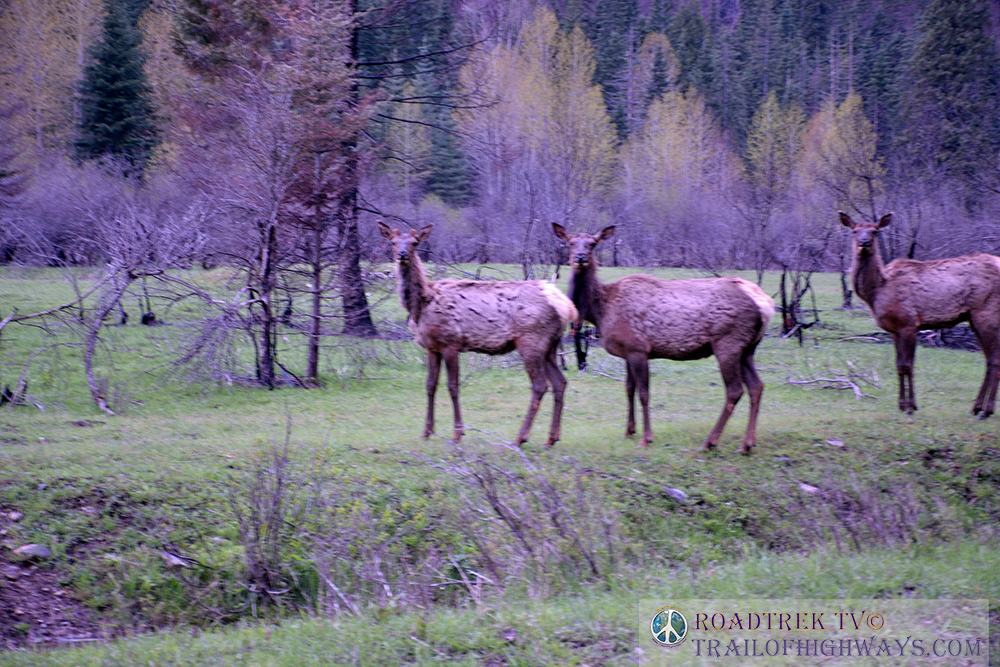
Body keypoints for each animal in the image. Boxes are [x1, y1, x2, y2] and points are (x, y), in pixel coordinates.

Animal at [378, 221, 578, 447]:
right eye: (393, 242)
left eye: (414, 243)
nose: (402, 254)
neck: (421, 304)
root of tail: (566, 306)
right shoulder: (432, 347)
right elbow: (430, 385)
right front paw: (427, 431)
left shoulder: (451, 342)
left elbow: (453, 386)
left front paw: (457, 434)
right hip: (550, 345)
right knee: (560, 382)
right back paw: (551, 438)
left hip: (531, 340)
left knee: (540, 385)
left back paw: (520, 438)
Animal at [553, 223, 775, 453]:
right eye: (571, 243)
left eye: (593, 243)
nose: (580, 257)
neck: (600, 311)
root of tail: (765, 304)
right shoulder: (627, 351)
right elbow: (629, 388)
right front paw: (629, 431)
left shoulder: (638, 348)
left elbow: (644, 393)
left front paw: (646, 438)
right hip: (748, 348)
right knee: (757, 386)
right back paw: (747, 444)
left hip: (728, 343)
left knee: (735, 390)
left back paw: (710, 442)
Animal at [840, 211, 1000, 418]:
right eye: (854, 230)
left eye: (875, 231)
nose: (864, 242)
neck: (877, 292)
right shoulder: (894, 330)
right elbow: (899, 365)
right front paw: (902, 405)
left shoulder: (909, 323)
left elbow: (908, 365)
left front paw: (911, 406)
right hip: (975, 318)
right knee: (988, 360)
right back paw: (977, 407)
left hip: (987, 313)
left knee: (995, 360)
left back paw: (986, 410)